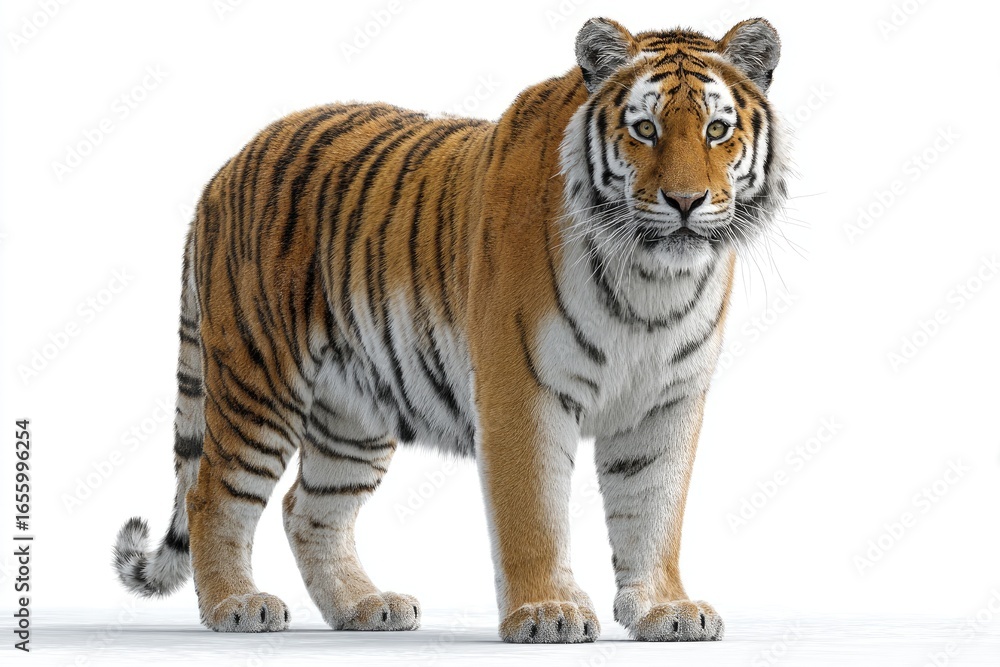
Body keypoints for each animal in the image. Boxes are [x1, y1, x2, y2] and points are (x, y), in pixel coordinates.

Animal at [112, 16, 787, 643]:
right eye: (645, 129)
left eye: (717, 130)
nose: (685, 201)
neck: (651, 280)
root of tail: (225, 169)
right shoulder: (522, 388)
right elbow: (533, 510)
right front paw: (548, 612)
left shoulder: (666, 403)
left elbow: (653, 511)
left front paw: (663, 610)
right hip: (260, 378)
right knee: (212, 494)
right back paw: (236, 605)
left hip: (353, 411)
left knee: (308, 508)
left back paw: (365, 607)